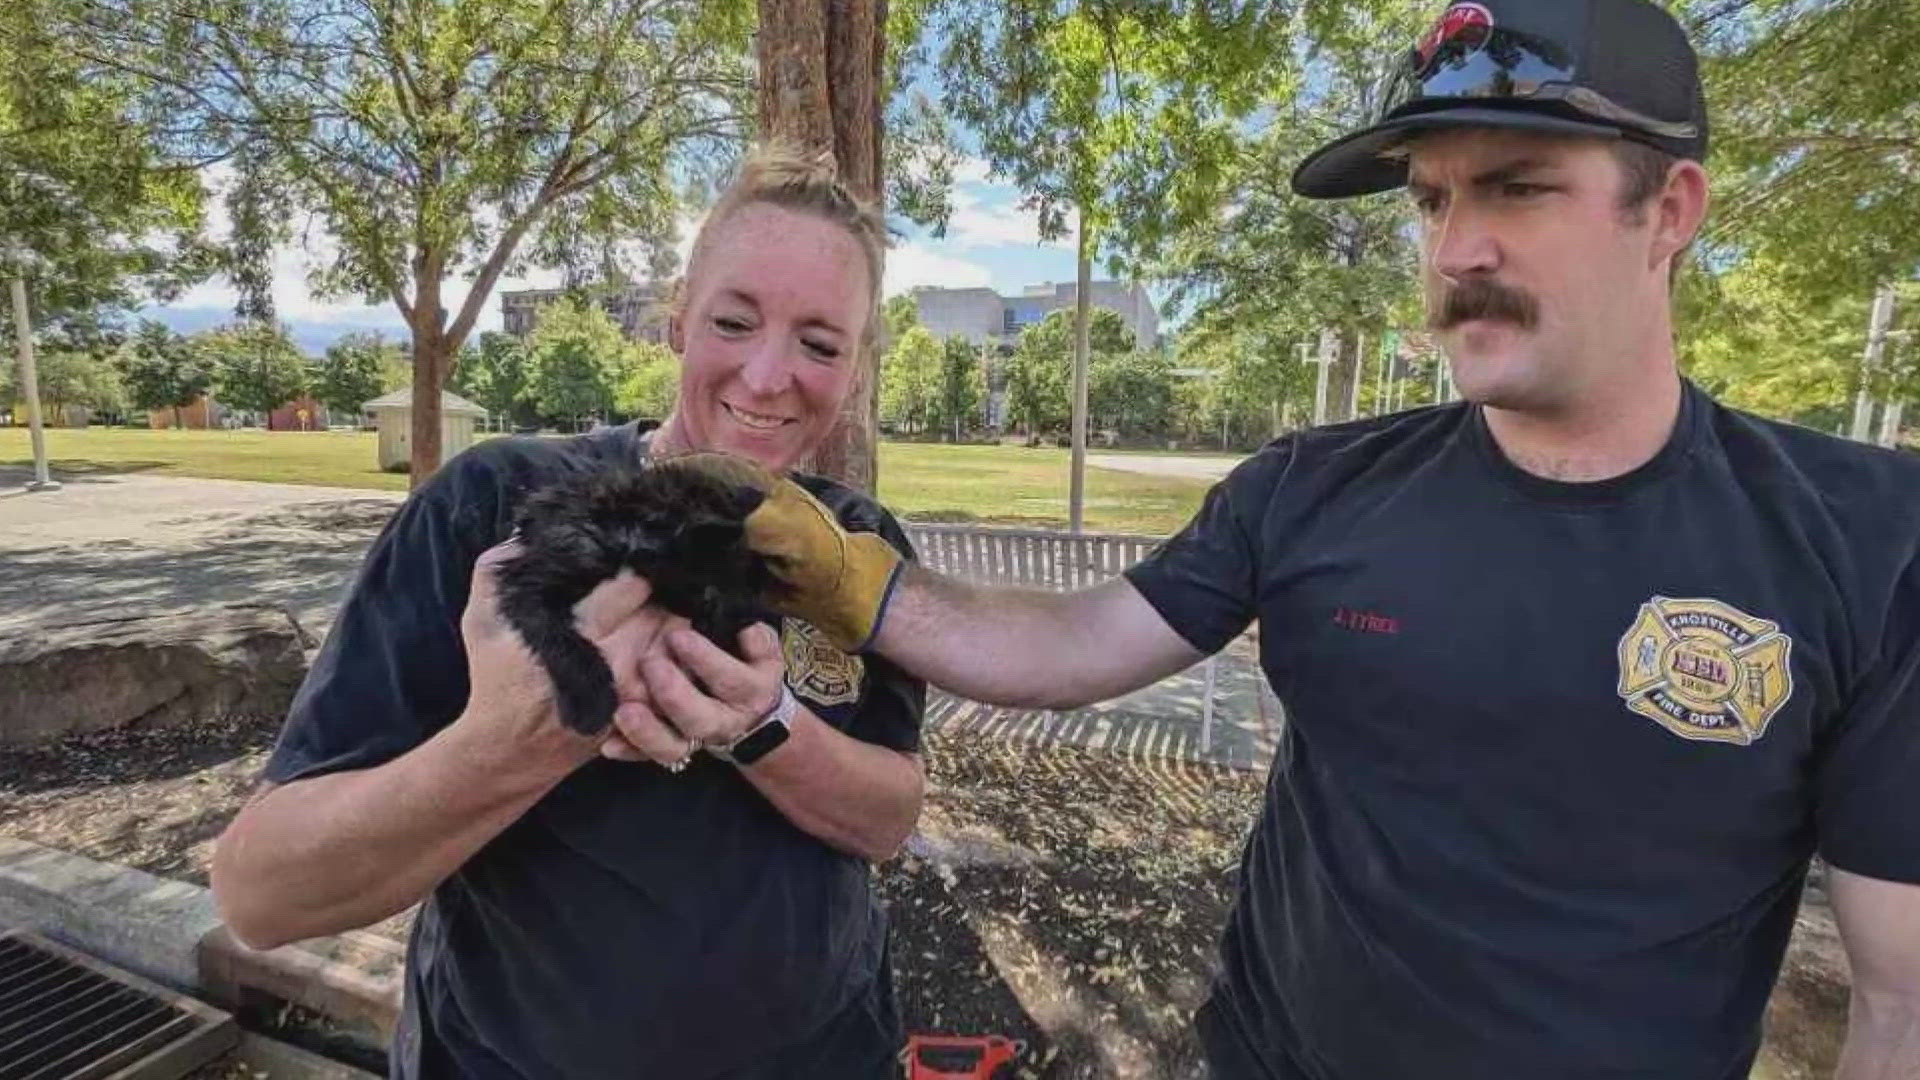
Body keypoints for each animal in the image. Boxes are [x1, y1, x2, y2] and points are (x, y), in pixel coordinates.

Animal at [499, 457, 791, 734]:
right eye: (710, 596)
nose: (743, 626)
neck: (627, 524)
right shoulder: (529, 581)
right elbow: (562, 640)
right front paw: (591, 703)